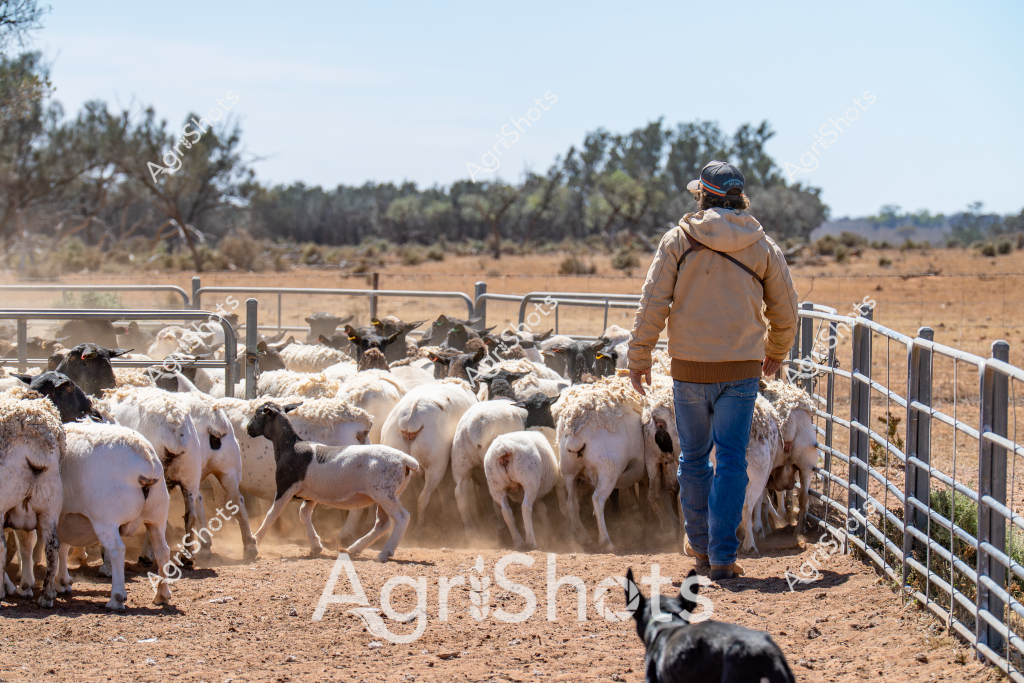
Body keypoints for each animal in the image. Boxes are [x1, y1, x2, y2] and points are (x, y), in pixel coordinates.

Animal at [57, 422, 173, 610]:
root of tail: (144, 454)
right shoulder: (66, 520)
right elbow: (61, 547)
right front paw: (61, 583)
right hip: (157, 515)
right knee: (163, 551)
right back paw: (161, 595)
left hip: (106, 518)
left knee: (117, 550)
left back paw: (116, 598)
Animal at [246, 402, 418, 562]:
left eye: (257, 414)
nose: (248, 428)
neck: (291, 446)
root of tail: (406, 460)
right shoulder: (311, 494)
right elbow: (304, 513)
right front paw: (315, 546)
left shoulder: (286, 485)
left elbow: (272, 515)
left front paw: (255, 543)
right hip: (386, 494)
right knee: (382, 524)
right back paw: (355, 548)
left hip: (384, 494)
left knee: (402, 518)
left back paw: (384, 553)